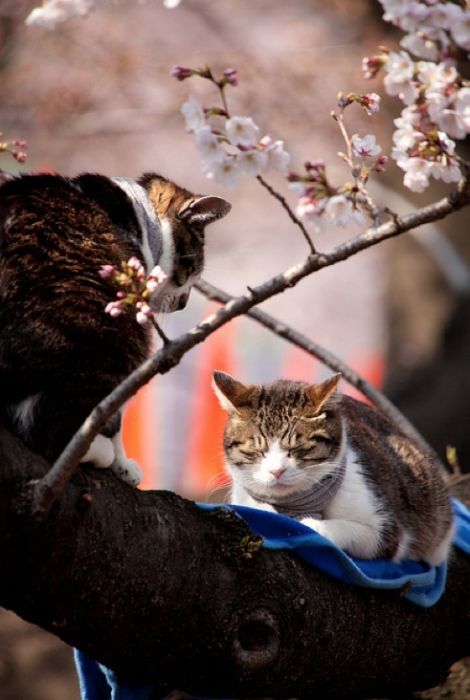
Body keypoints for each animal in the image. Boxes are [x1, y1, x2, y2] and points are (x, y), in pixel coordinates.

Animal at [0, 172, 231, 484]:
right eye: (192, 268)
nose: (183, 304)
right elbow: (115, 415)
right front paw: (122, 464)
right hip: (116, 336)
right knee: (54, 432)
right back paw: (96, 452)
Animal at [214, 372, 456, 564]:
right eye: (257, 450)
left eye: (298, 448)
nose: (277, 471)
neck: (294, 503)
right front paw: (266, 509)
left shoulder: (386, 531)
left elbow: (346, 530)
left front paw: (310, 524)